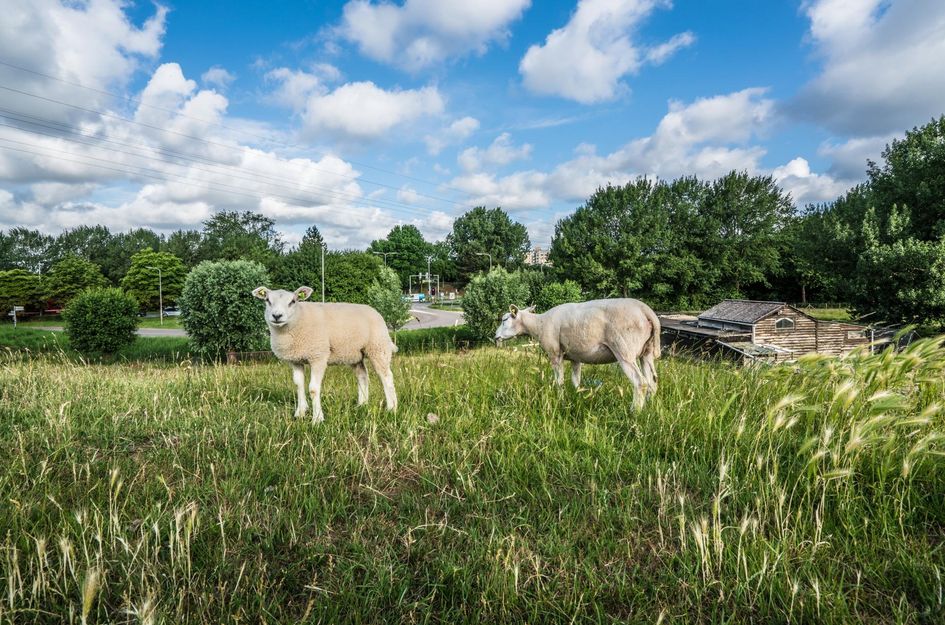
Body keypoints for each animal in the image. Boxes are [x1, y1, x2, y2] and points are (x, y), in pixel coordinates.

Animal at [249, 286, 396, 422]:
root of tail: (373, 310)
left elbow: (313, 389)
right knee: (362, 375)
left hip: (378, 347)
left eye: (293, 301)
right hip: (354, 354)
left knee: (386, 377)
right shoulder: (295, 360)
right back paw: (362, 405)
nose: (277, 316)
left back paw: (391, 408)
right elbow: (298, 384)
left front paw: (317, 419)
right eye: (267, 300)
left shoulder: (318, 356)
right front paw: (300, 413)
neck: (298, 318)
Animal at [498, 298, 660, 410]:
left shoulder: (554, 353)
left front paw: (560, 400)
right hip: (646, 352)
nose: (495, 336)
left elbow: (559, 382)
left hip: (624, 349)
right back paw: (649, 408)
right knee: (652, 382)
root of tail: (646, 311)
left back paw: (634, 412)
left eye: (504, 319)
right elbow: (576, 381)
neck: (539, 324)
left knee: (641, 382)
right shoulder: (575, 357)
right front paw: (577, 399)